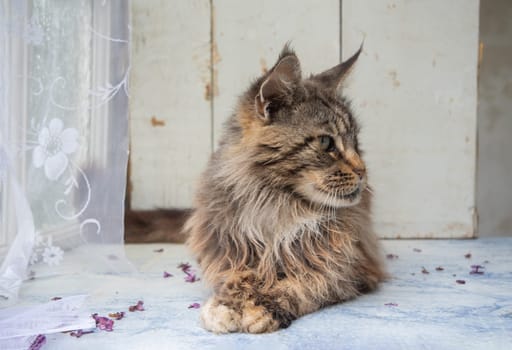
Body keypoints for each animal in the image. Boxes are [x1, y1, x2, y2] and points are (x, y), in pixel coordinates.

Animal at [184, 44, 384, 334]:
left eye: (355, 143)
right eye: (326, 143)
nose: (363, 172)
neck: (276, 205)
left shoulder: (351, 267)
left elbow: (305, 284)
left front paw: (264, 307)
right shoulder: (233, 249)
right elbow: (238, 277)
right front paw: (227, 305)